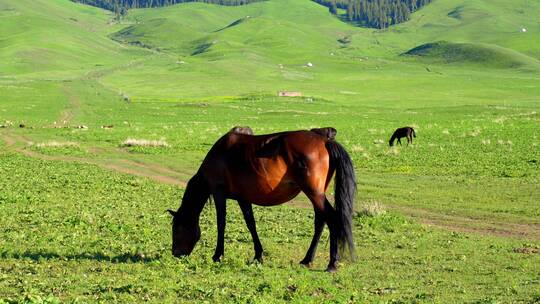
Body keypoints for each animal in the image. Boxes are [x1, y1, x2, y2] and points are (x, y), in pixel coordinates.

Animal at [167, 126, 356, 274]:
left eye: (176, 229)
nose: (175, 253)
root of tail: (324, 141)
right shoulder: (243, 198)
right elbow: (251, 223)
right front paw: (258, 255)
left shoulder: (219, 193)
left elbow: (221, 223)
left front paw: (218, 255)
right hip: (317, 194)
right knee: (320, 222)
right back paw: (307, 259)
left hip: (314, 193)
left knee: (332, 219)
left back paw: (331, 264)